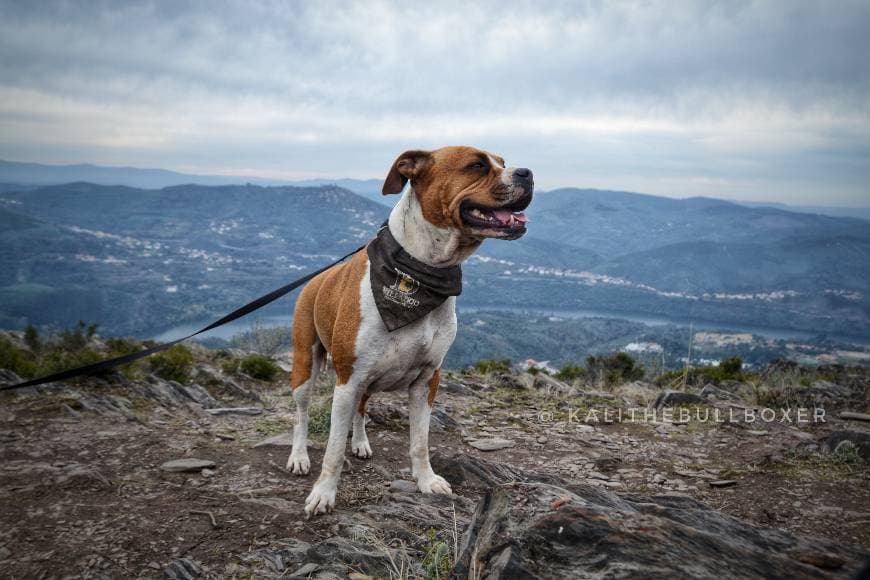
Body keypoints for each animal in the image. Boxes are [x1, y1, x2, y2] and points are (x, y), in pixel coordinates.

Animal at [288, 145, 532, 516]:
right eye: (477, 165)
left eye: (503, 162)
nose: (527, 173)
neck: (421, 270)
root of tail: (315, 279)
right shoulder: (348, 380)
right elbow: (333, 449)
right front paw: (323, 494)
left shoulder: (426, 380)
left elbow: (420, 441)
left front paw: (426, 480)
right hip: (306, 364)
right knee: (301, 414)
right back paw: (299, 457)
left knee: (362, 409)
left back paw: (360, 442)